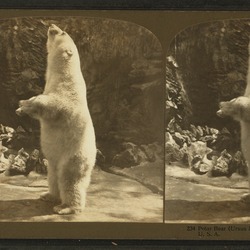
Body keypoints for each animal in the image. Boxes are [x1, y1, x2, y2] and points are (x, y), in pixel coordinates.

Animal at [15, 23, 96, 215]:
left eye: (63, 32)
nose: (51, 25)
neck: (62, 73)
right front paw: (21, 105)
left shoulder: (68, 92)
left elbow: (52, 104)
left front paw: (26, 105)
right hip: (54, 162)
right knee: (53, 176)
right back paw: (48, 195)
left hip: (74, 156)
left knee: (69, 180)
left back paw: (65, 207)